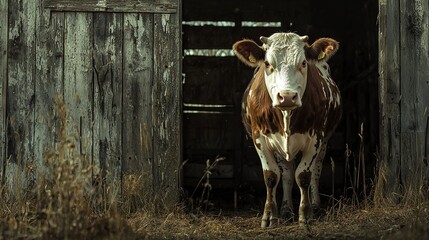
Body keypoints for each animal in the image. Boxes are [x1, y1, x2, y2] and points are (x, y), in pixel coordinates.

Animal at [232, 32, 340, 228]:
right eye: (268, 64)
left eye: (303, 63)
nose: (287, 97)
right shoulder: (260, 139)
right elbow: (272, 176)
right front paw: (270, 216)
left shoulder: (315, 139)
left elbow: (304, 176)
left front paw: (305, 215)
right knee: (287, 174)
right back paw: (286, 209)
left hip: (324, 142)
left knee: (315, 171)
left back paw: (315, 206)